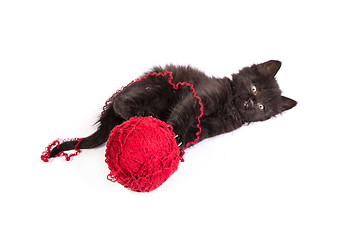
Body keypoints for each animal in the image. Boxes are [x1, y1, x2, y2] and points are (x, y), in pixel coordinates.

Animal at [49, 60, 296, 158]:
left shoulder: (211, 126)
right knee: (121, 103)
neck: (230, 105)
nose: (250, 103)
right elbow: (182, 115)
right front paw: (171, 133)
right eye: (254, 88)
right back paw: (143, 115)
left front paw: (179, 144)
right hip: (156, 89)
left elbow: (193, 133)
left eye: (262, 107)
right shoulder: (197, 96)